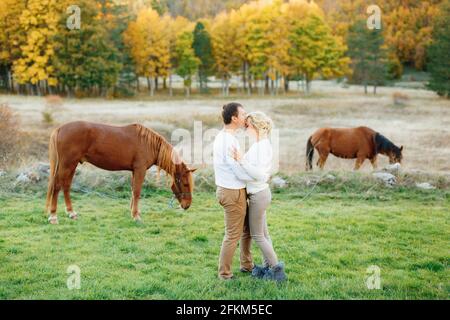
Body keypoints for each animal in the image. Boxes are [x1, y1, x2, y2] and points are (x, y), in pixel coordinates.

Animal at [44, 121, 197, 224]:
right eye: (185, 184)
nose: (187, 205)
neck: (149, 144)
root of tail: (60, 129)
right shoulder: (140, 170)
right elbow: (137, 192)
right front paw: (136, 216)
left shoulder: (134, 171)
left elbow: (133, 191)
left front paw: (133, 213)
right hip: (67, 164)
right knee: (57, 186)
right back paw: (53, 216)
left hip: (72, 165)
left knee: (66, 186)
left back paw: (71, 213)